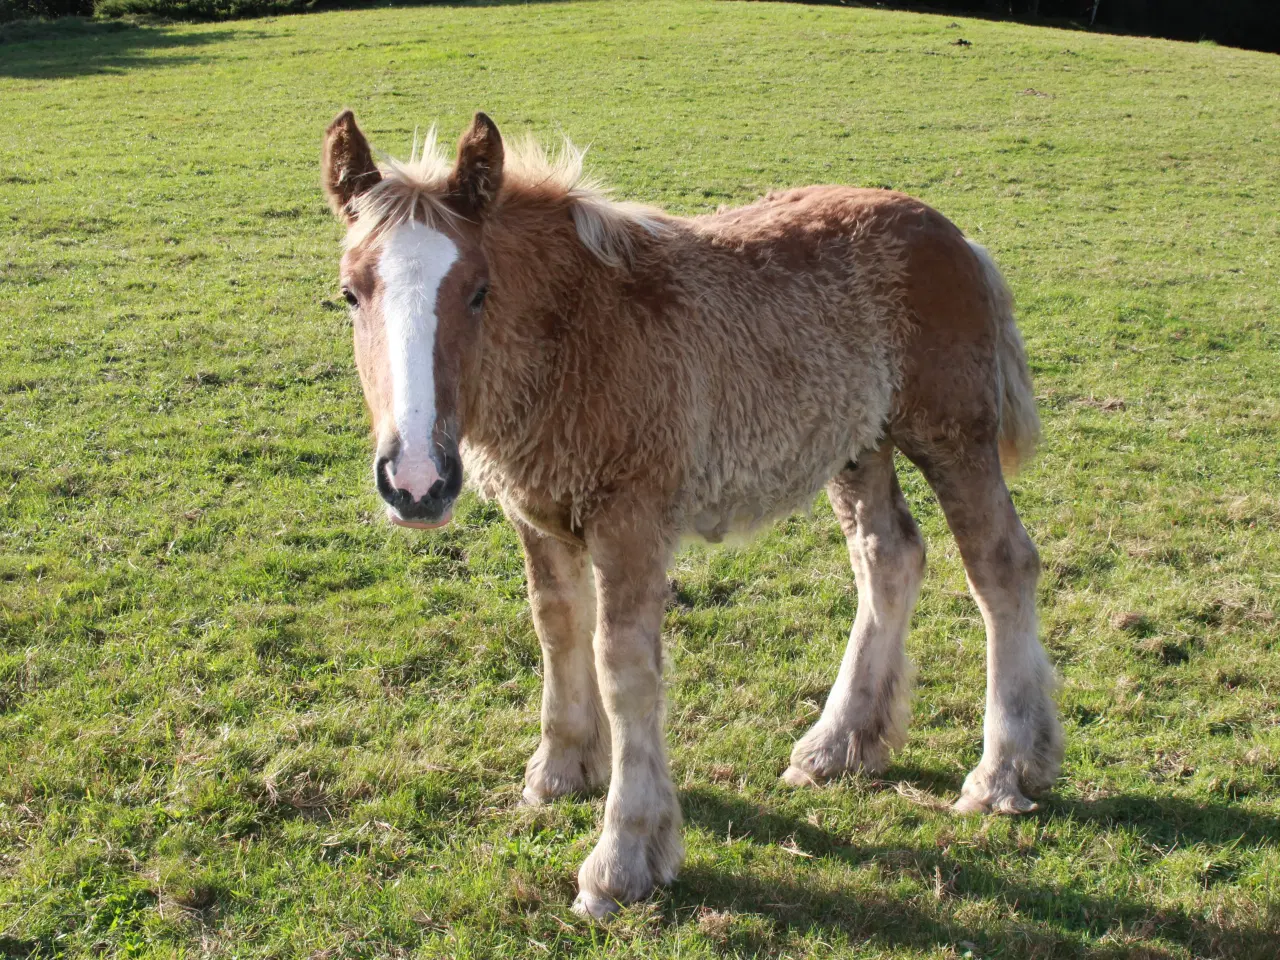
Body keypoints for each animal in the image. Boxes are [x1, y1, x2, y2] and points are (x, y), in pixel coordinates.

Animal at [325, 108, 1064, 921]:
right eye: (350, 294)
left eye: (479, 291)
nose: (415, 481)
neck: (576, 328)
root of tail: (954, 235)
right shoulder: (540, 513)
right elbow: (556, 627)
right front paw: (558, 770)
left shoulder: (631, 519)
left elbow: (624, 668)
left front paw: (622, 858)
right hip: (857, 444)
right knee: (888, 557)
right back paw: (837, 745)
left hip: (950, 431)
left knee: (1000, 564)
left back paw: (1004, 772)